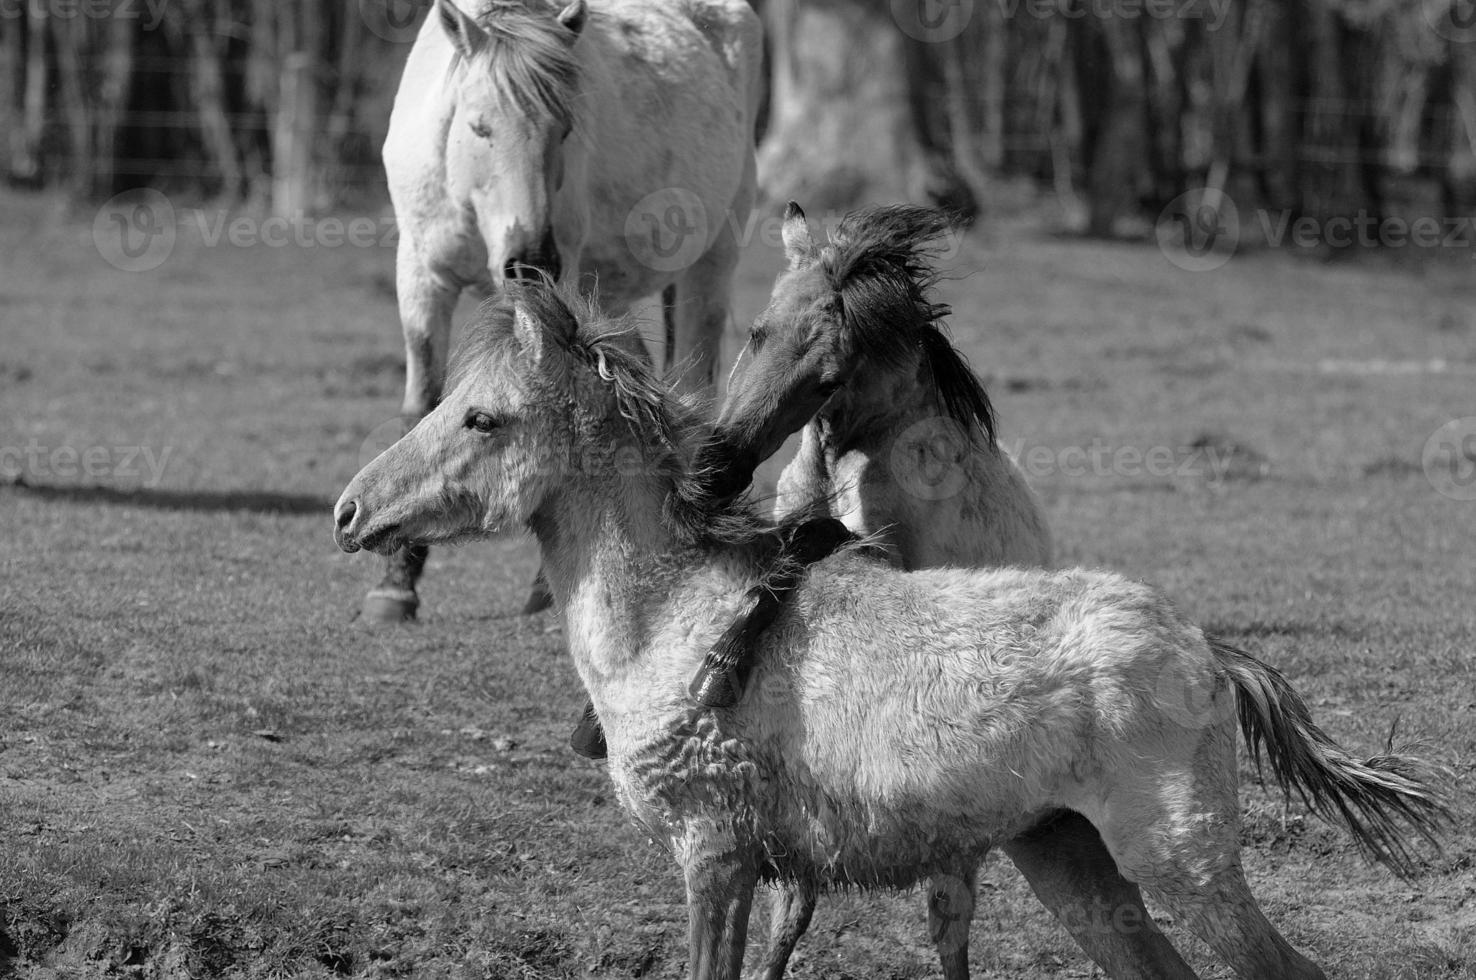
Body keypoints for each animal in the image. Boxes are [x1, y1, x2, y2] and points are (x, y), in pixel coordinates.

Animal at [332, 278, 1440, 974]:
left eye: (482, 417)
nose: (348, 511)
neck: (676, 620)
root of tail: (1209, 650)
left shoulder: (713, 856)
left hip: (1185, 862)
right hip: (1069, 856)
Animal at [364, 0, 761, 619]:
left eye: (564, 131)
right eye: (479, 126)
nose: (530, 259)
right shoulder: (420, 278)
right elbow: (420, 404)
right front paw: (394, 586)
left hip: (711, 263)